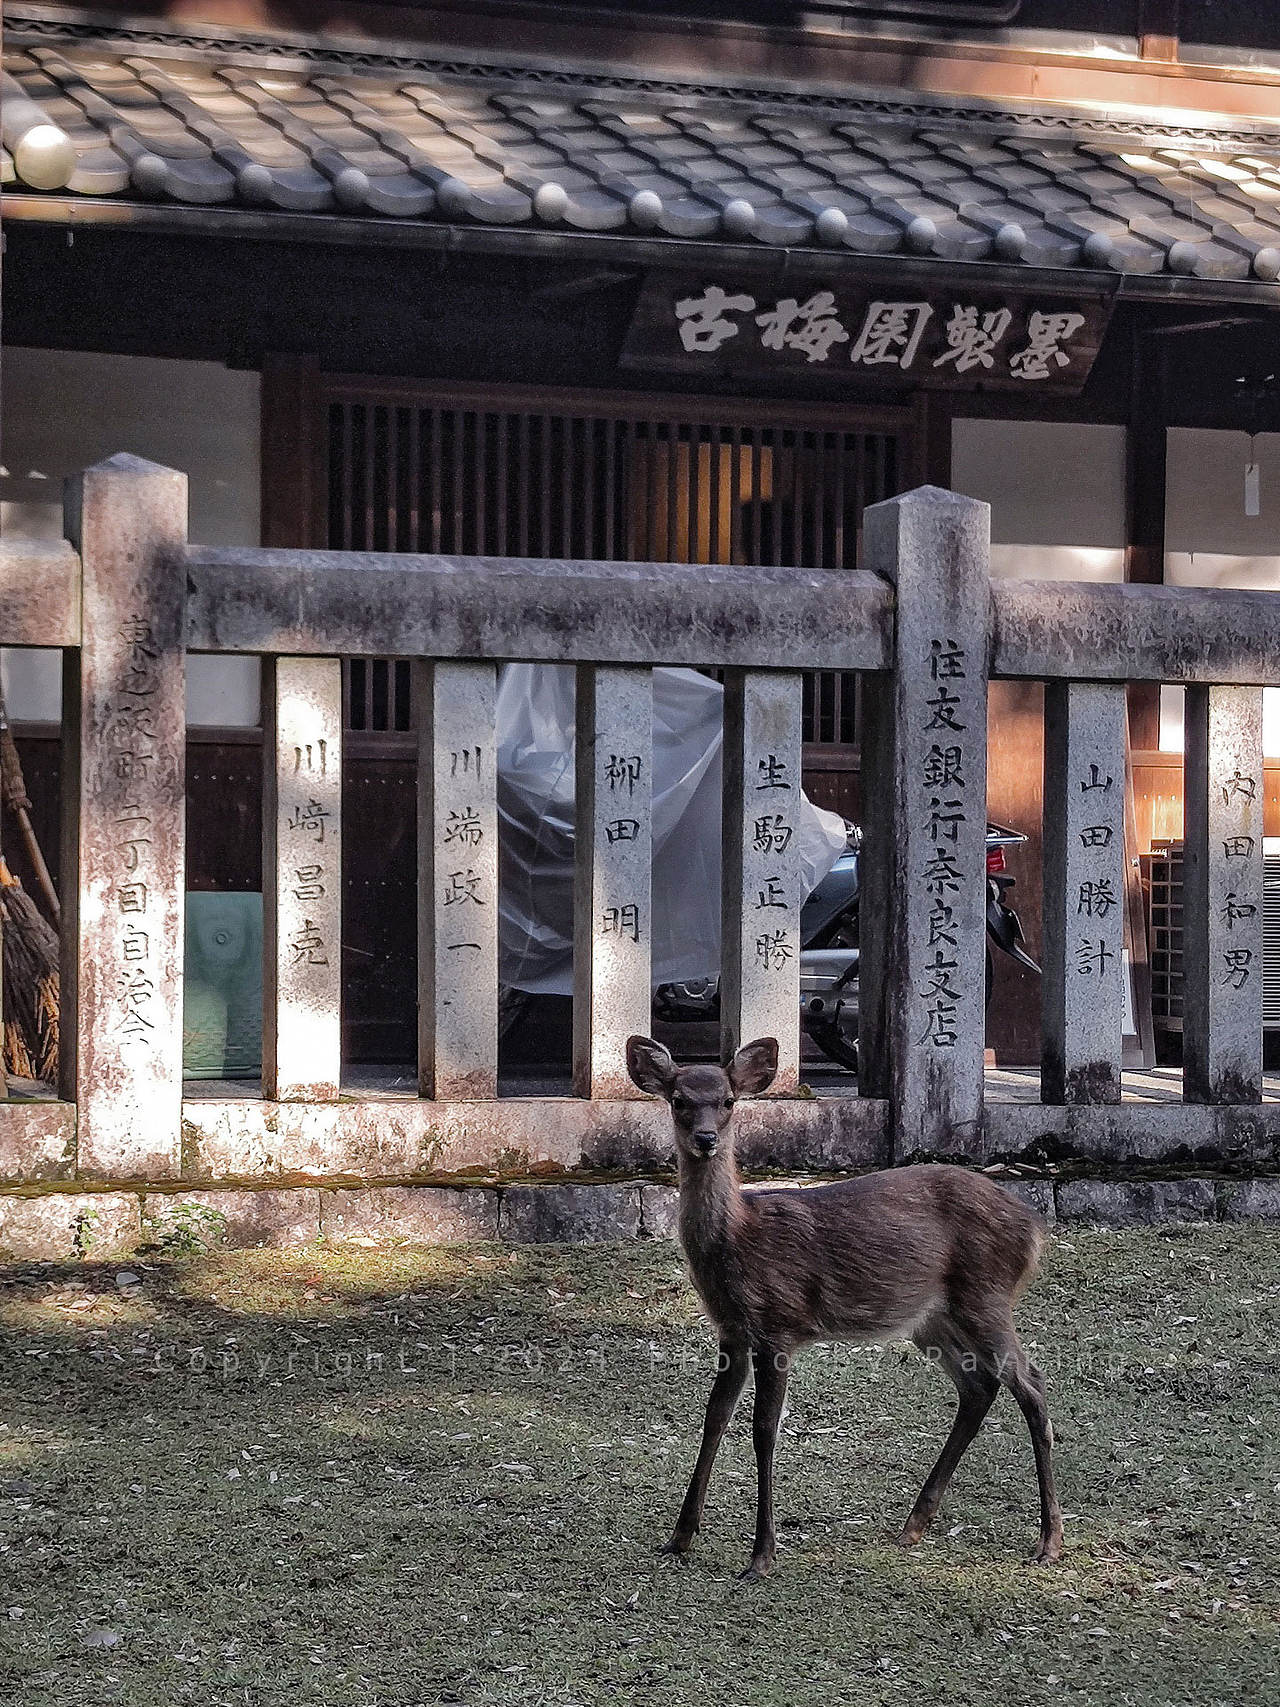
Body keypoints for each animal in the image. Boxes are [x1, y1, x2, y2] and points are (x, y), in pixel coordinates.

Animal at [626, 1033, 1062, 1583]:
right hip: (932, 1321)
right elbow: (714, 1418)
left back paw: (1049, 1541)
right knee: (979, 1387)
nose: (705, 1138)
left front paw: (761, 1556)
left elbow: (764, 1430)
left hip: (986, 1296)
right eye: (679, 1100)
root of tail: (1035, 1229)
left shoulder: (777, 1323)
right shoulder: (732, 1330)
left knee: (1032, 1385)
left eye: (727, 1101)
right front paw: (680, 1537)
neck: (740, 1238)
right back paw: (913, 1526)